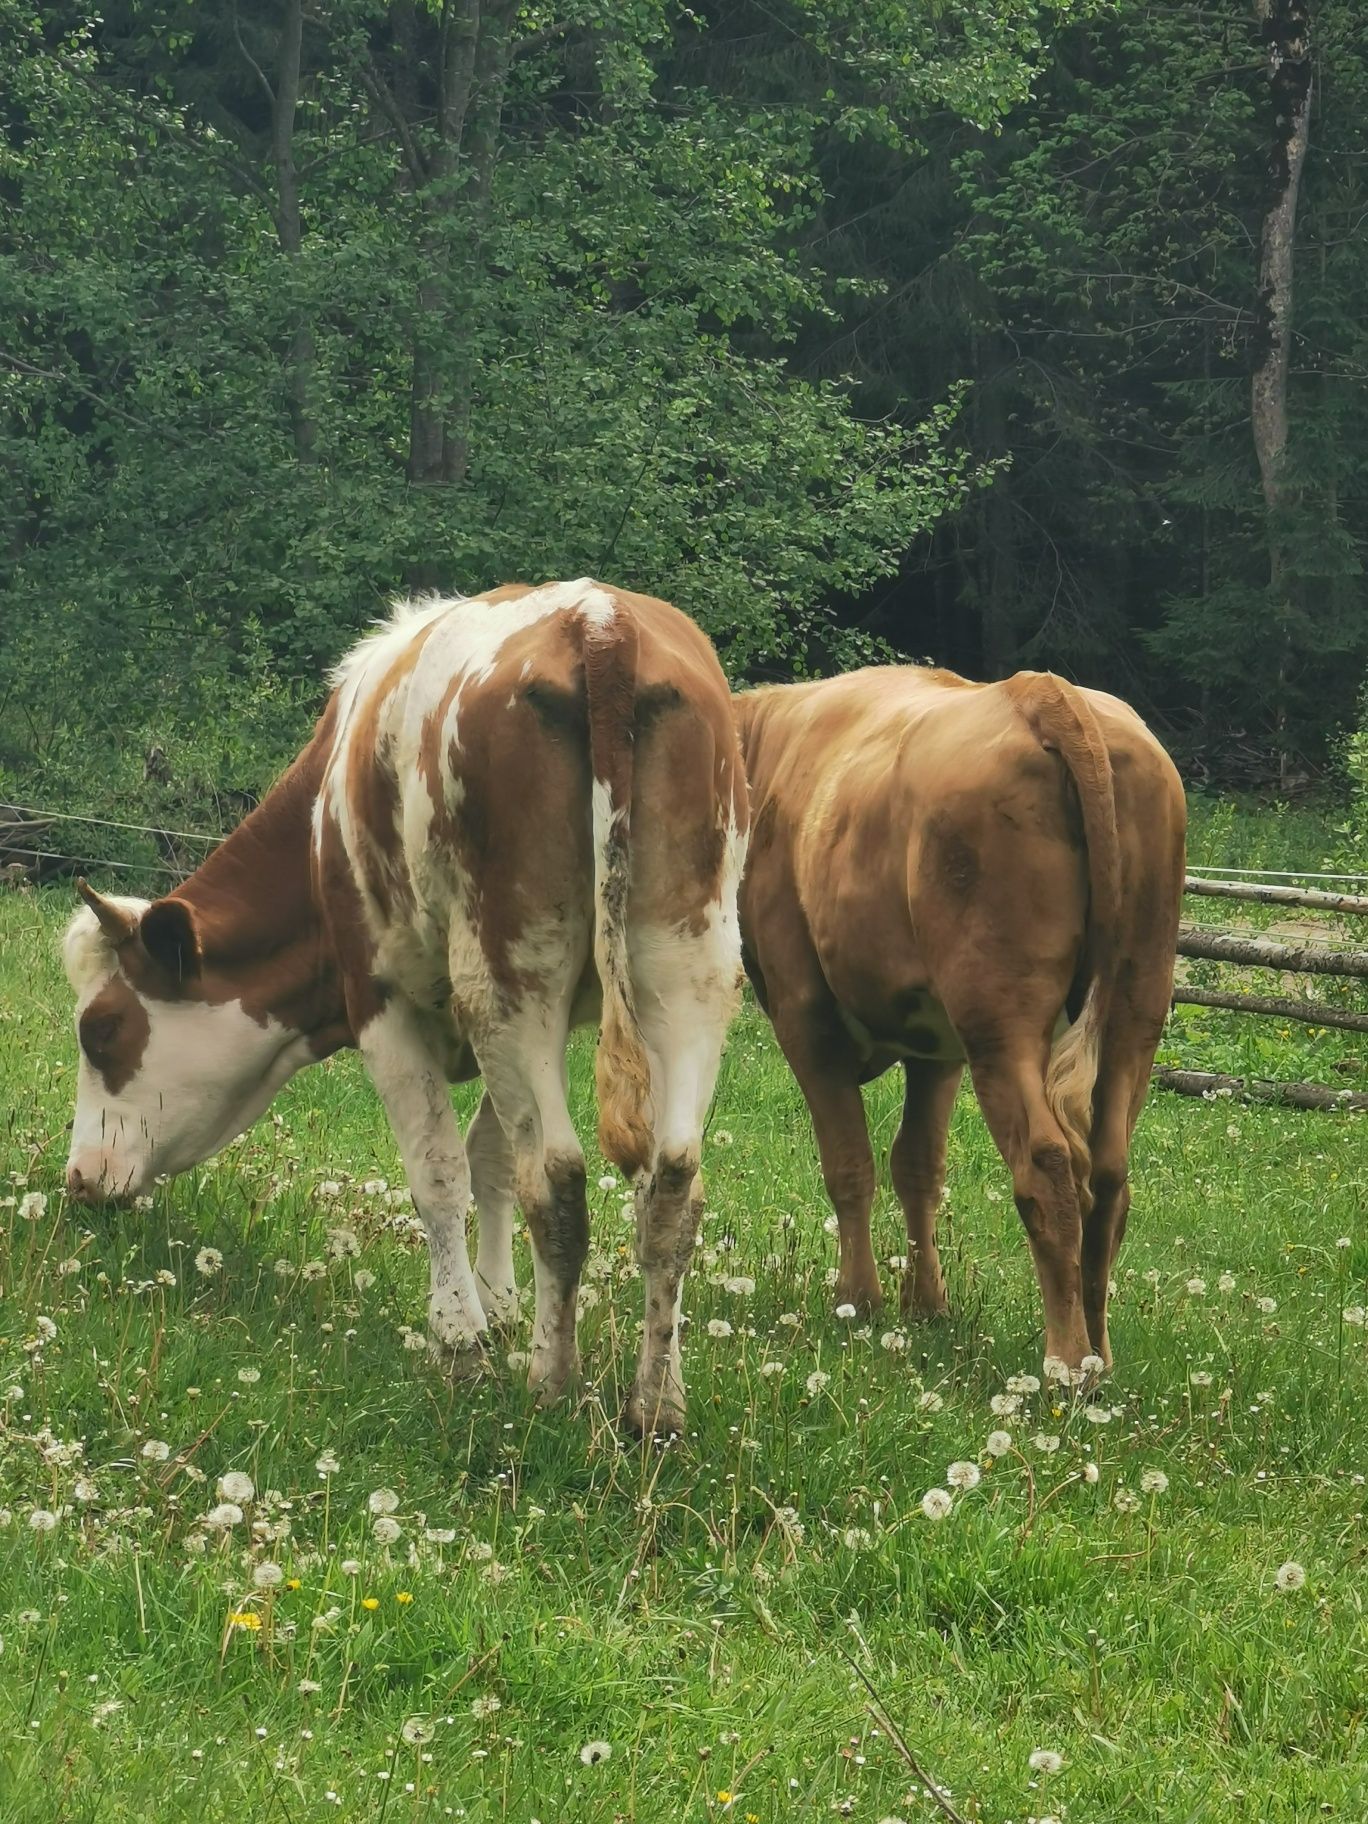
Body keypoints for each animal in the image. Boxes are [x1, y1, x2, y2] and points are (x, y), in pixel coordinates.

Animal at [61, 576, 751, 1430]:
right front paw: (499, 1305)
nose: (78, 1178)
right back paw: (656, 1404)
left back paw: (551, 1386)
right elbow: (490, 1159)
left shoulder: (381, 1002)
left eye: (100, 1029)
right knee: (671, 1183)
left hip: (510, 972)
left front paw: (461, 1341)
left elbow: (439, 1172)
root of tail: (599, 620)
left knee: (557, 1179)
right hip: (685, 969)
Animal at [740, 663, 1189, 1371]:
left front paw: (856, 1303)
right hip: (1135, 1006)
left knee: (1047, 1166)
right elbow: (917, 1165)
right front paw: (926, 1306)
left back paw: (1065, 1362)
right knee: (1110, 1175)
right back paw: (1098, 1355)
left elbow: (849, 1163)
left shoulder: (803, 1013)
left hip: (999, 1017)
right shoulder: (936, 1047)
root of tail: (1042, 692)